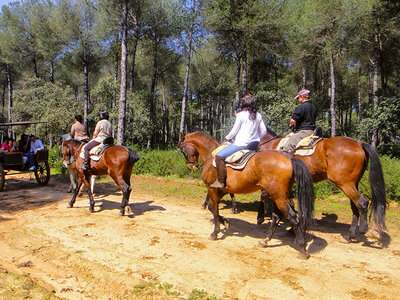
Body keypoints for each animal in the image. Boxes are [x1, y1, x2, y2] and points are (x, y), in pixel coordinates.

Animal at [258, 129, 386, 239]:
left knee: (362, 202)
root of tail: (358, 143)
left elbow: (264, 196)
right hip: (353, 184)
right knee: (355, 206)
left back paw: (363, 228)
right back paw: (351, 234)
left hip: (345, 183)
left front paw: (261, 217)